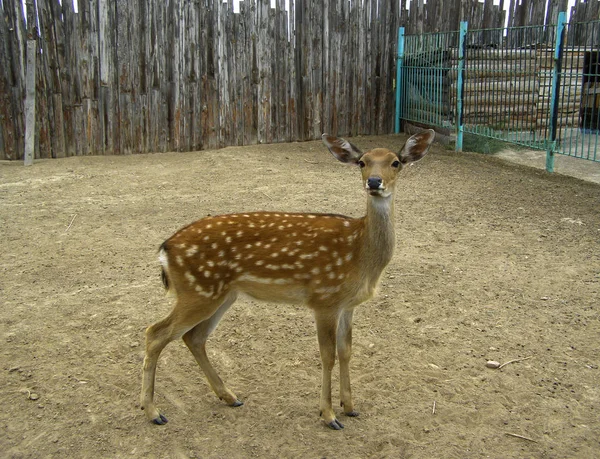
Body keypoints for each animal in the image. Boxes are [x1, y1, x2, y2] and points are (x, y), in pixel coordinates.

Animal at [141, 129, 436, 432]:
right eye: (362, 162)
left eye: (395, 162)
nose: (374, 182)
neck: (360, 253)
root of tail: (165, 248)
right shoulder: (324, 298)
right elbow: (327, 355)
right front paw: (329, 415)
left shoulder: (348, 304)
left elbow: (346, 351)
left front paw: (350, 407)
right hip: (197, 291)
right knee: (155, 333)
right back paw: (153, 412)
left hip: (220, 294)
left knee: (194, 337)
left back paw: (229, 396)